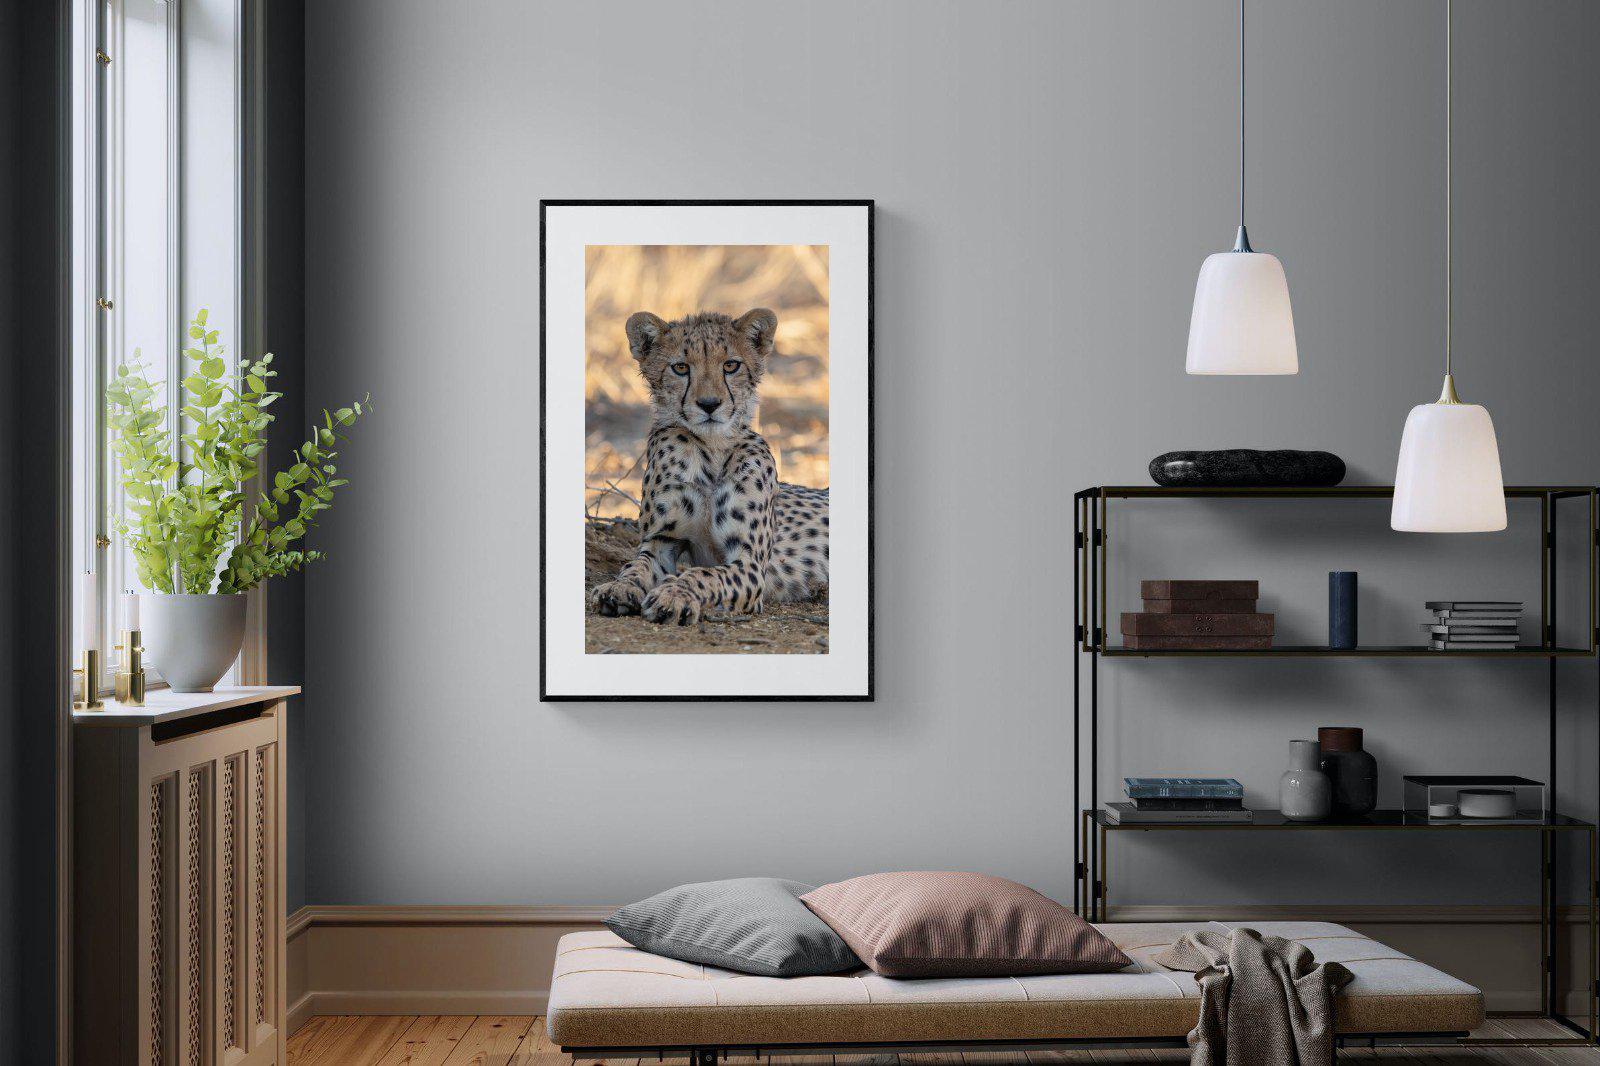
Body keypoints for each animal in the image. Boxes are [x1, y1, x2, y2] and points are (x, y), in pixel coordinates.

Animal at [589, 307, 828, 626]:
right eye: (680, 368)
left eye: (730, 365)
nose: (709, 404)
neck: (712, 449)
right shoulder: (661, 542)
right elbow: (635, 565)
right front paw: (619, 587)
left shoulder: (749, 562)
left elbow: (705, 574)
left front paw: (674, 595)